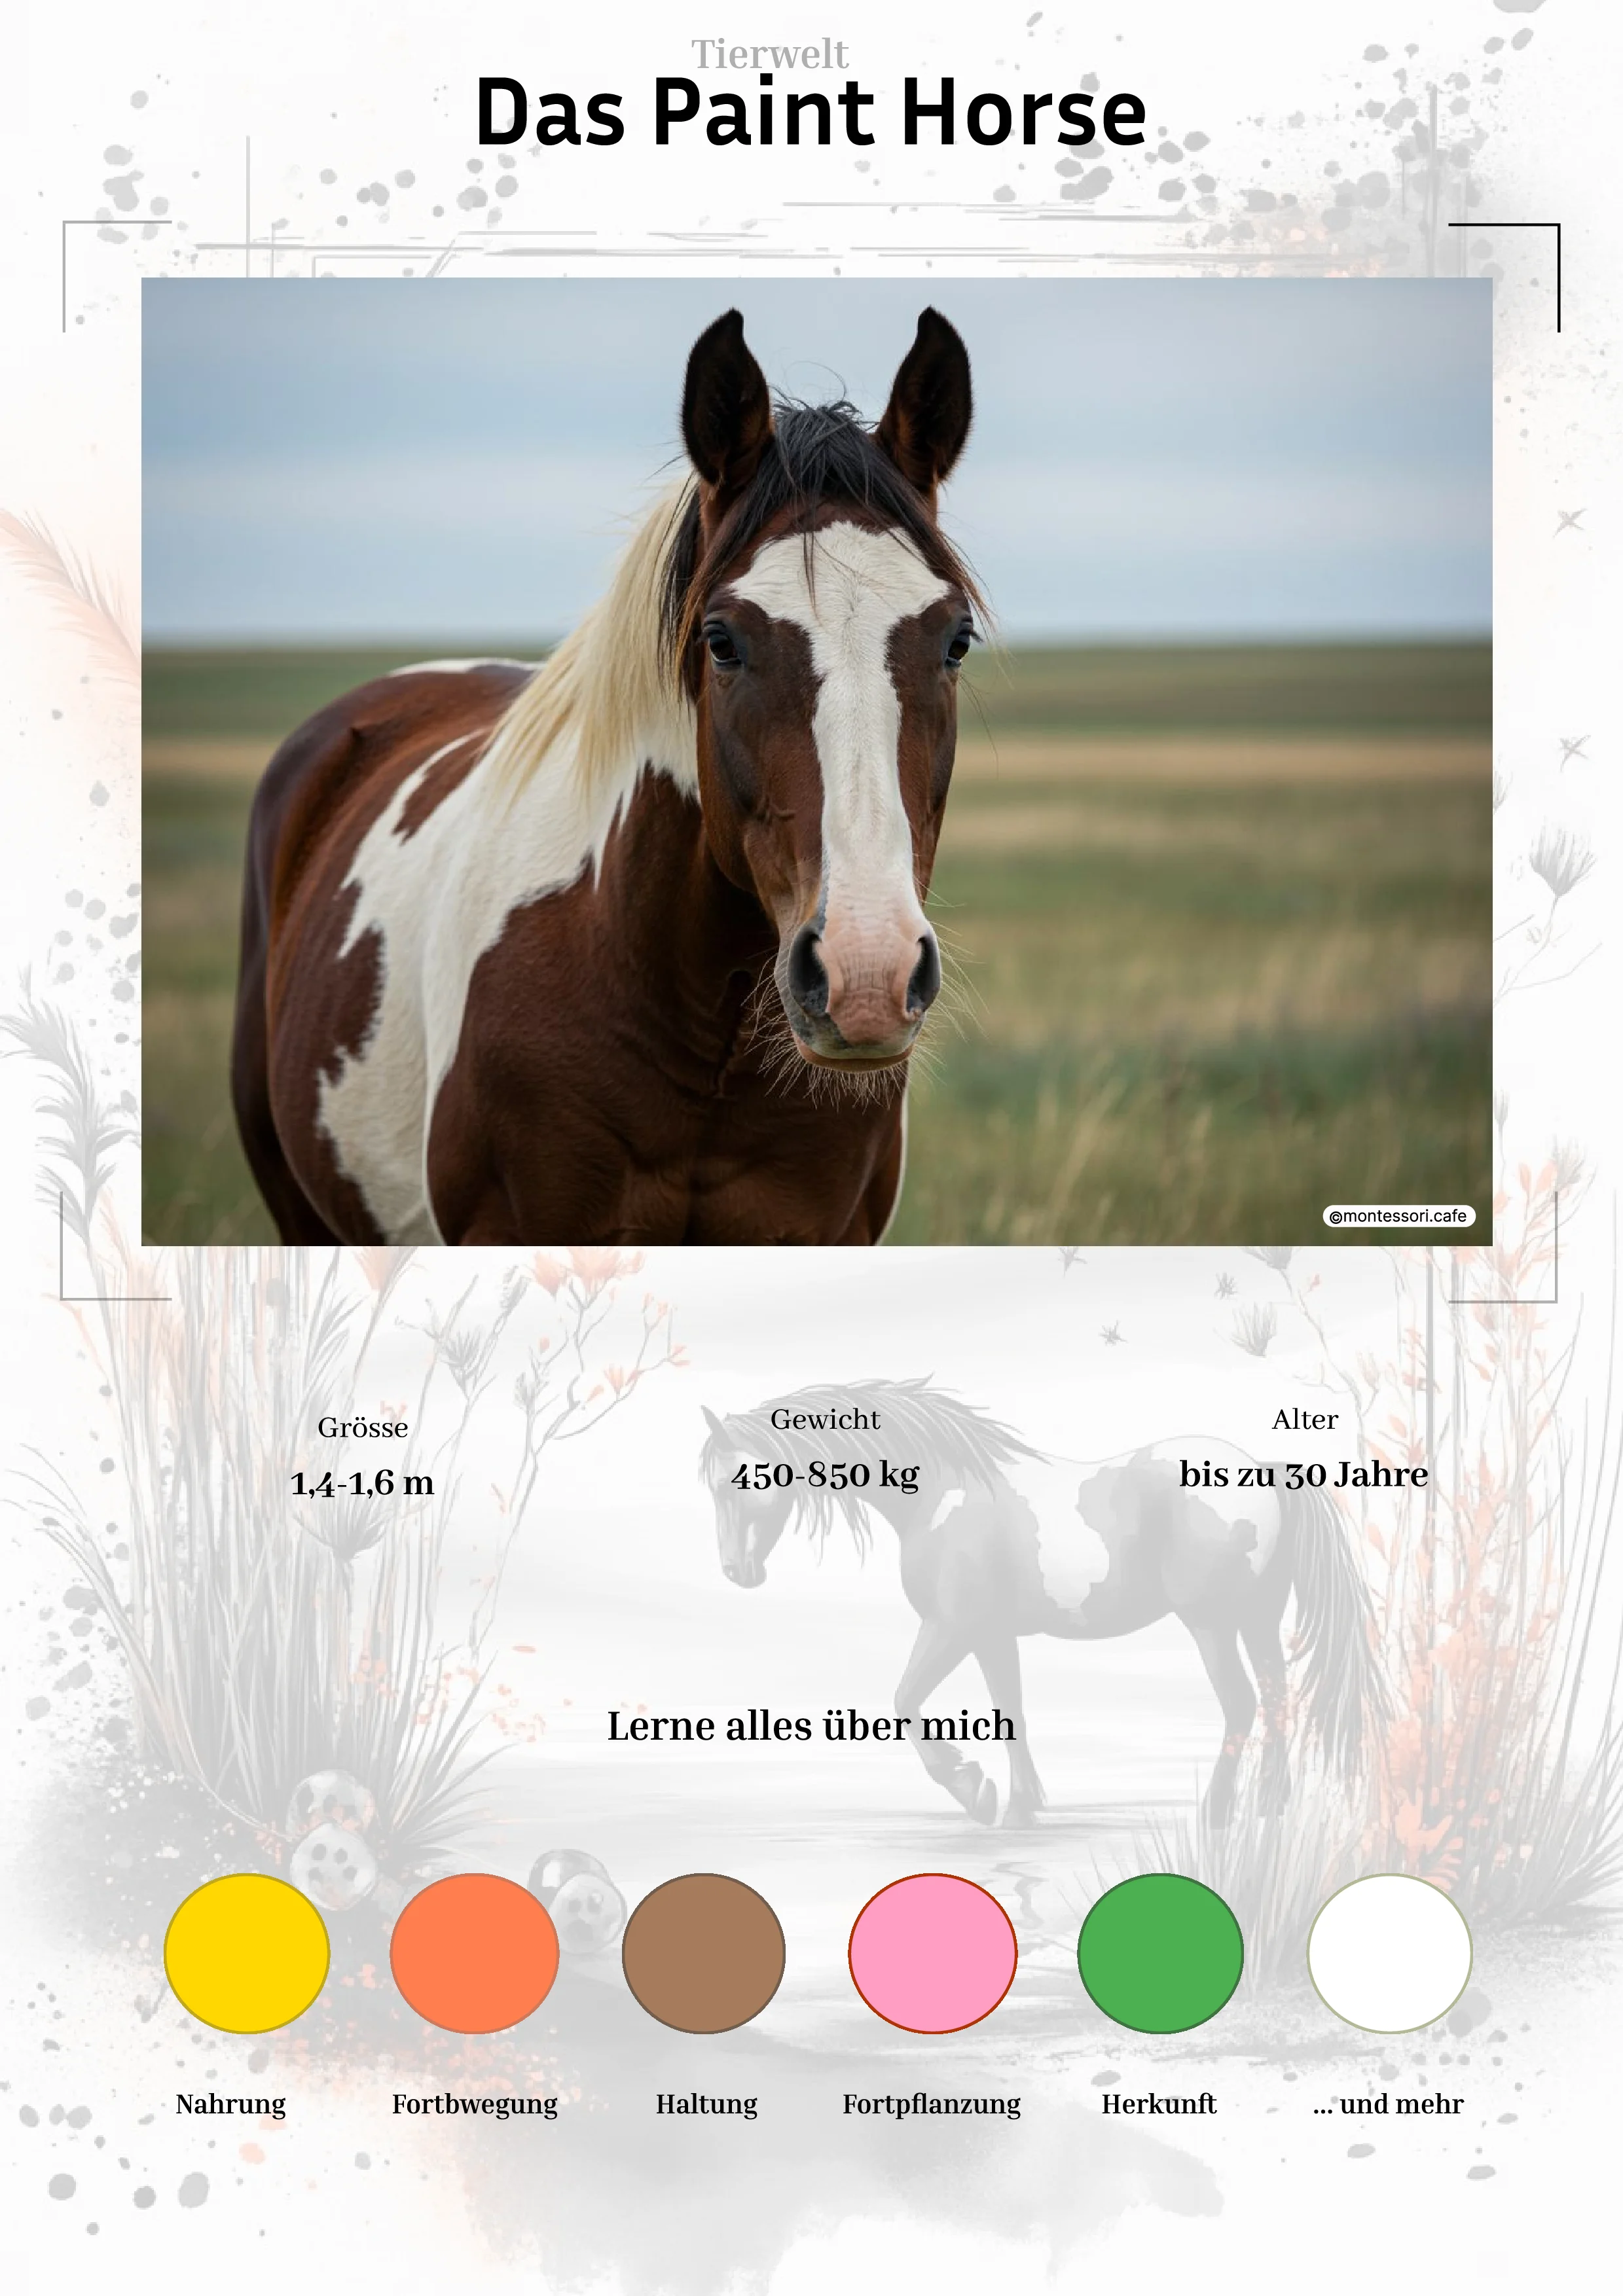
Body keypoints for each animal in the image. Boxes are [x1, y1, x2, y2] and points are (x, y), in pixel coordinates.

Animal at [698, 1381, 1388, 1828]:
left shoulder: (950, 1627)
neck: (943, 1491)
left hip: (1212, 1624)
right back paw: (1272, 1807)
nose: (735, 1572)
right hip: (1256, 1619)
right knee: (1276, 1700)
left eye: (740, 1480)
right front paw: (1022, 1804)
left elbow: (905, 1701)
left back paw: (1218, 1813)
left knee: (1242, 1704)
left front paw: (973, 1790)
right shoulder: (990, 1636)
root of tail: (1266, 1471)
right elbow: (1011, 1709)